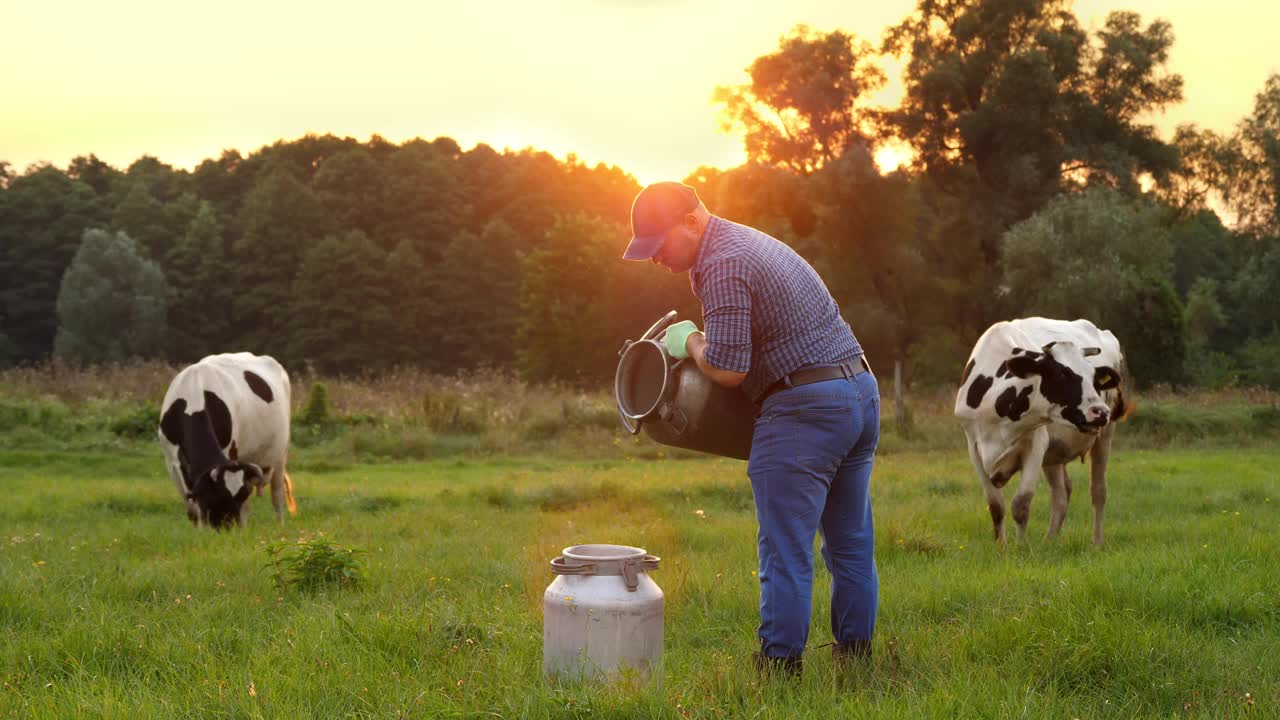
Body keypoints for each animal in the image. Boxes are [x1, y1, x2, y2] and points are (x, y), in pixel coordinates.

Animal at [158, 351, 295, 527]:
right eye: (216, 496)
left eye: (239, 495)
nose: (228, 527)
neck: (194, 398)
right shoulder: (172, 463)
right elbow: (193, 510)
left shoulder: (231, 454)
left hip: (279, 456)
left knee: (276, 496)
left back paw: (277, 526)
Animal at [952, 316, 1131, 540]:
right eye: (1061, 374)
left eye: (1093, 378)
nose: (1101, 411)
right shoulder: (973, 446)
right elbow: (996, 507)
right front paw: (1002, 544)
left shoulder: (1036, 445)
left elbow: (1021, 505)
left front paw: (1020, 545)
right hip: (1055, 452)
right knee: (1062, 493)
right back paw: (1051, 540)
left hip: (1105, 436)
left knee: (1098, 491)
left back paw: (1097, 541)